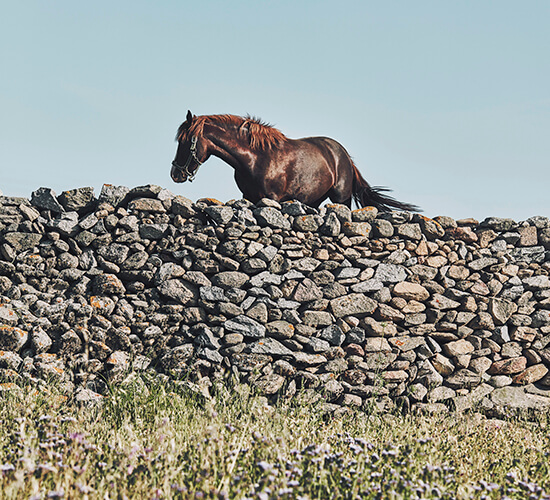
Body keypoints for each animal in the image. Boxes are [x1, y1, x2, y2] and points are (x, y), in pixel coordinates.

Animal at [170, 110, 420, 210]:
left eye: (186, 140)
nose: (176, 174)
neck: (255, 158)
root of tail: (344, 156)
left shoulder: (271, 198)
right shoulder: (249, 197)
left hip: (341, 199)